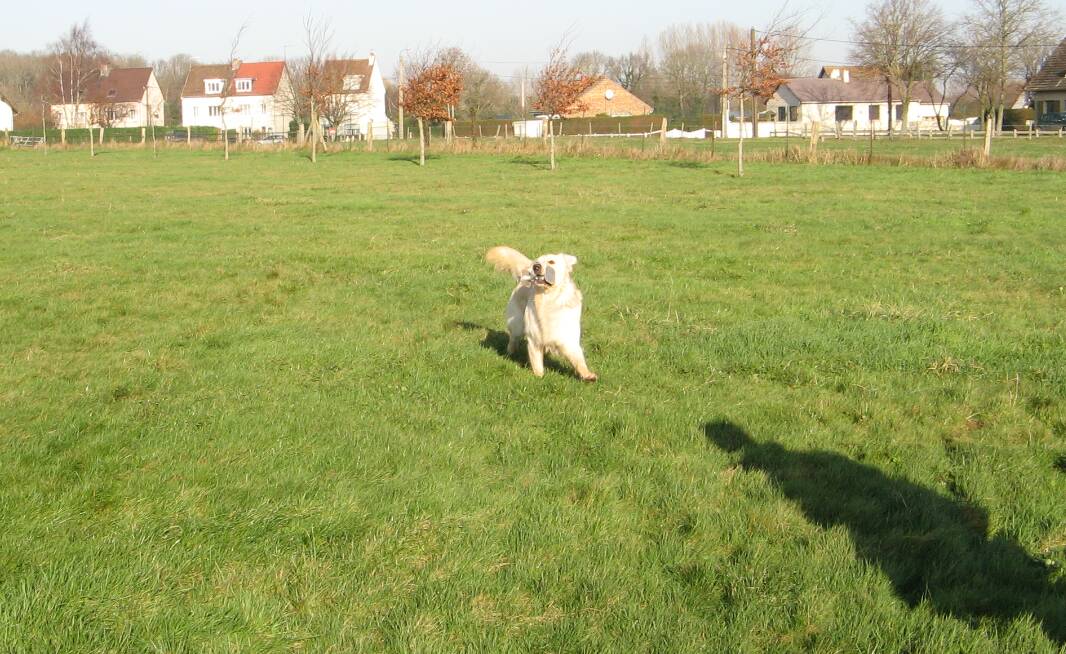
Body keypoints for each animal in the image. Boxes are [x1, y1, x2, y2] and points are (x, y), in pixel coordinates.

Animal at [486, 247, 596, 381]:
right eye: (537, 262)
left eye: (551, 262)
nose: (535, 267)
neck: (549, 299)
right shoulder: (534, 340)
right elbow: (537, 365)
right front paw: (539, 377)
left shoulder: (568, 339)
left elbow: (579, 360)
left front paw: (588, 375)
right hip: (517, 325)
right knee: (513, 339)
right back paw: (510, 353)